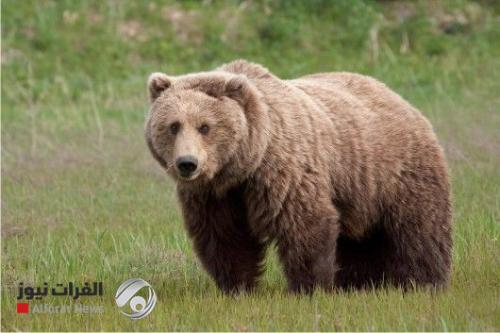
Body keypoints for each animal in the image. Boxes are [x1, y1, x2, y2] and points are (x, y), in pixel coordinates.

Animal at [145, 59, 454, 294]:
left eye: (205, 126)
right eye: (173, 126)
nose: (187, 164)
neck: (243, 166)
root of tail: (400, 99)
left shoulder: (284, 173)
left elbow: (303, 224)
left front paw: (310, 287)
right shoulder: (214, 196)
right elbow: (225, 236)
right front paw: (237, 286)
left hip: (397, 172)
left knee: (419, 228)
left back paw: (422, 281)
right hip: (359, 190)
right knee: (359, 240)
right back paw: (359, 283)